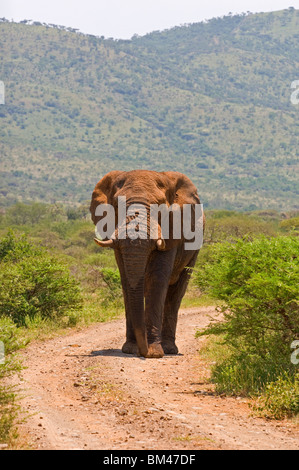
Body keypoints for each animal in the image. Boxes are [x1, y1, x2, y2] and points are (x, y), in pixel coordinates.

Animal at [90, 171, 205, 358]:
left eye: (160, 207)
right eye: (117, 205)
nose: (143, 353)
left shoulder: (172, 230)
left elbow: (157, 280)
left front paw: (154, 352)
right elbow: (126, 280)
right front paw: (130, 349)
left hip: (195, 251)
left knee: (175, 294)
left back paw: (169, 349)